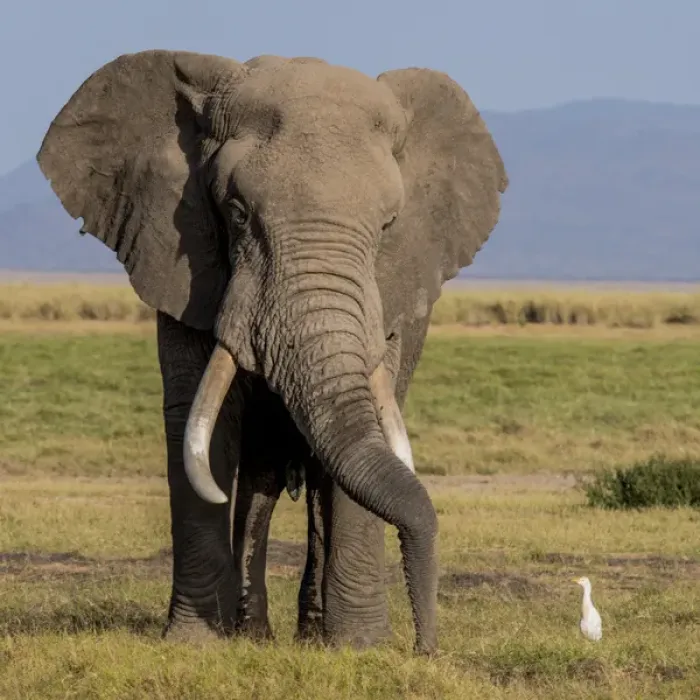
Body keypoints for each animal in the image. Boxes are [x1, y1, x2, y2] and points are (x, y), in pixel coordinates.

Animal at [37, 50, 507, 655]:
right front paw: (196, 645)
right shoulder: (183, 263)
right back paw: (255, 632)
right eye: (236, 213)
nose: (426, 647)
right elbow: (199, 425)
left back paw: (310, 634)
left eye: (387, 226)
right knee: (257, 479)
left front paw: (360, 648)